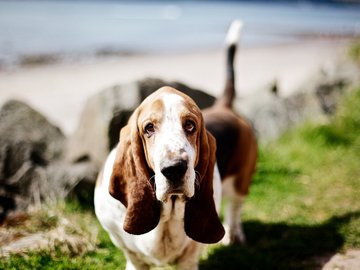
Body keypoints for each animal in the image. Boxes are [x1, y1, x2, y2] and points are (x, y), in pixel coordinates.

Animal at [94, 20, 258, 270]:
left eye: (190, 125)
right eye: (148, 128)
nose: (174, 169)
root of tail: (224, 107)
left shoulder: (190, 256)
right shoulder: (123, 243)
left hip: (241, 182)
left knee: (235, 208)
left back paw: (234, 234)